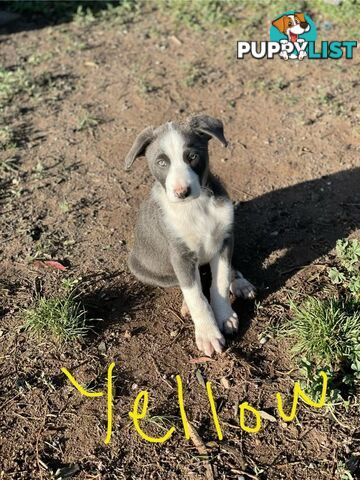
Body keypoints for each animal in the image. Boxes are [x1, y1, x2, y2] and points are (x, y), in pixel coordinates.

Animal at [125, 115, 255, 356]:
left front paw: (225, 315)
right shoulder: (180, 255)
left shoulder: (224, 241)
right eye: (161, 163)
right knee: (183, 284)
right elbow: (196, 296)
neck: (196, 206)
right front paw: (208, 334)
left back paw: (240, 283)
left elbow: (220, 281)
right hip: (141, 267)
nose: (181, 192)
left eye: (192, 156)